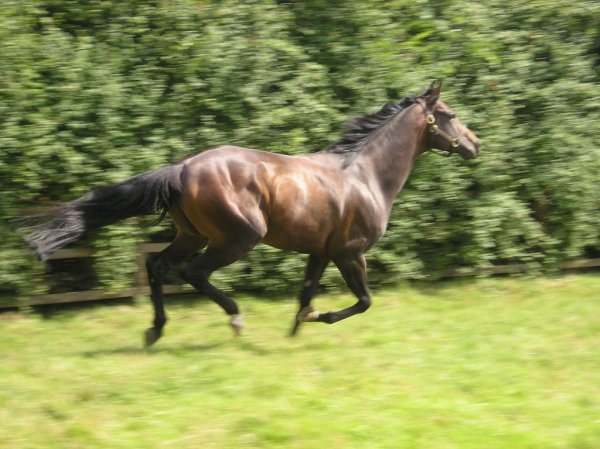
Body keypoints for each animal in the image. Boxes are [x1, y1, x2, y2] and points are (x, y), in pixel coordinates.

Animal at [16, 81, 480, 346]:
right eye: (450, 115)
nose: (476, 145)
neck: (365, 175)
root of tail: (182, 168)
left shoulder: (320, 251)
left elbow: (305, 293)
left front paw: (296, 328)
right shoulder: (350, 252)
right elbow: (364, 301)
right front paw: (321, 318)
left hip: (192, 235)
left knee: (157, 266)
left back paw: (155, 330)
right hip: (238, 237)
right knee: (193, 273)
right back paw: (235, 320)